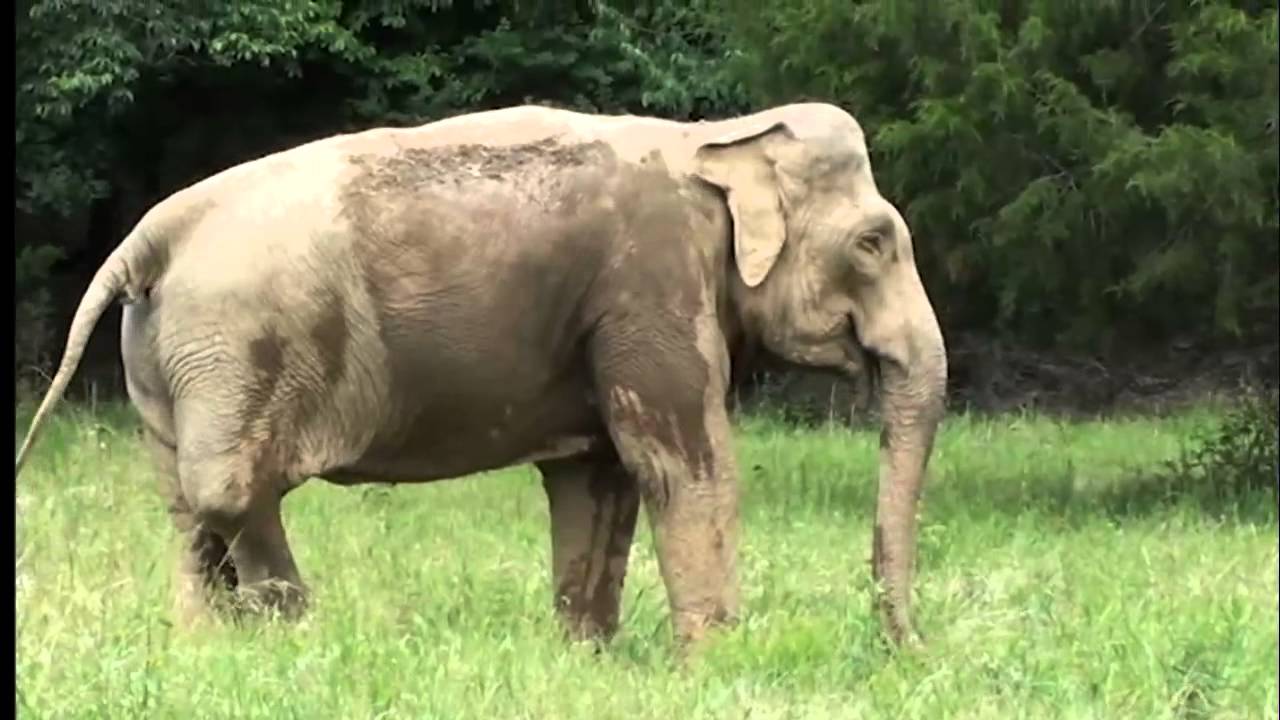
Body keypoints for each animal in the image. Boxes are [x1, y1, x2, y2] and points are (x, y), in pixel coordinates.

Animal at [15, 102, 948, 648]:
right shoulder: (650, 283)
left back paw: (210, 649)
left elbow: (597, 478)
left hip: (166, 358)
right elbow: (684, 465)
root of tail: (154, 232)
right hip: (235, 343)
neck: (712, 136)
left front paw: (589, 658)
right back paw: (299, 638)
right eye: (874, 243)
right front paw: (716, 661)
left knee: (184, 505)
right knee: (229, 490)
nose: (902, 647)